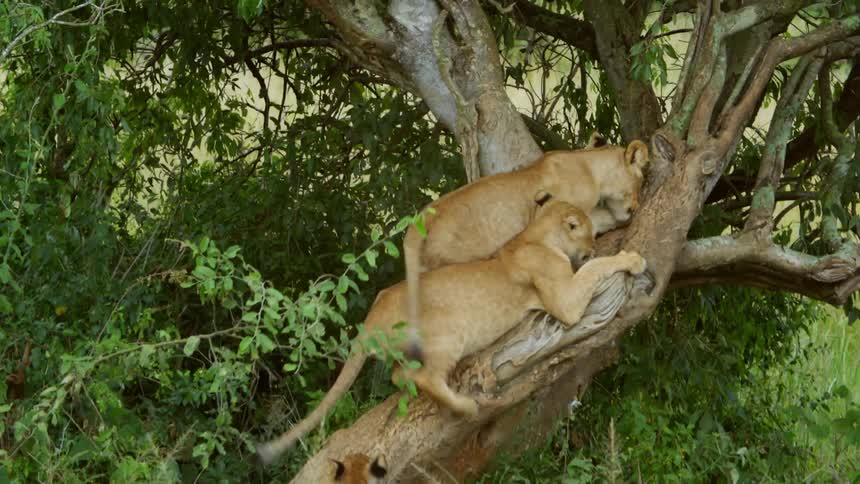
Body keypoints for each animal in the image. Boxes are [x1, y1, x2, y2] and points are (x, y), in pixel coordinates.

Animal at [256, 201, 647, 464]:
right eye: (589, 233)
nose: (592, 246)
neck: (536, 236)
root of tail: (371, 318)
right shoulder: (565, 302)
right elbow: (596, 269)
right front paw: (631, 259)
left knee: (400, 375)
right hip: (450, 331)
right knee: (429, 377)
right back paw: (466, 406)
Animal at [404, 139, 650, 334]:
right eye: (639, 183)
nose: (635, 207)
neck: (589, 166)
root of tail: (417, 225)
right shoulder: (563, 211)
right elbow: (598, 222)